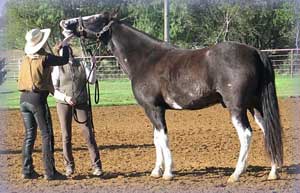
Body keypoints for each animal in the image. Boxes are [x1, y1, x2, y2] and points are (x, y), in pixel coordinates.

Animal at [60, 12, 284, 182]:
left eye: (94, 18)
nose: (65, 24)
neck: (145, 59)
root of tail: (255, 51)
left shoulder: (154, 109)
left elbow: (164, 138)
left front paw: (168, 173)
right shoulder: (152, 109)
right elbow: (157, 138)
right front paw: (156, 171)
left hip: (236, 108)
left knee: (246, 135)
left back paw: (236, 174)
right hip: (255, 106)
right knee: (268, 130)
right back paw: (273, 172)